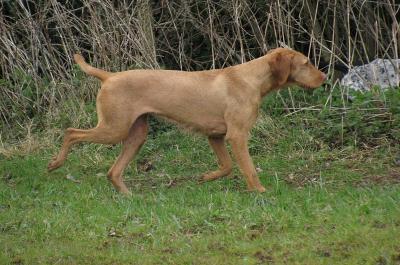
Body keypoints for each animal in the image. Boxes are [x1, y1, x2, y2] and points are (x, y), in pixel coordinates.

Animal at [48, 47, 326, 193]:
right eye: (307, 63)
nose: (324, 78)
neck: (252, 79)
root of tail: (109, 76)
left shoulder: (216, 135)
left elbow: (227, 166)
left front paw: (206, 177)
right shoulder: (237, 135)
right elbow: (248, 168)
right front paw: (260, 192)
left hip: (136, 135)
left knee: (113, 171)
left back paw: (128, 196)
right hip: (113, 128)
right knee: (71, 132)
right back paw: (55, 163)